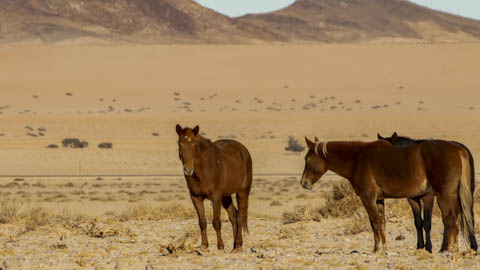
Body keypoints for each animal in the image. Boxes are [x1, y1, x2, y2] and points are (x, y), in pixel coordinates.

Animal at [300, 137, 476, 253]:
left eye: (307, 159)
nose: (304, 183)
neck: (358, 158)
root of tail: (457, 149)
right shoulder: (379, 200)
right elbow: (382, 222)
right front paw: (384, 247)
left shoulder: (368, 198)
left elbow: (374, 223)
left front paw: (377, 249)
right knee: (456, 218)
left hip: (445, 195)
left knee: (450, 219)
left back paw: (448, 249)